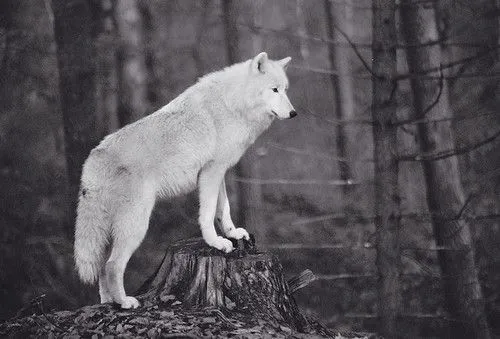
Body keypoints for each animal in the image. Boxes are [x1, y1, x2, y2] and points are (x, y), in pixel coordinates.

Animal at [72, 51, 294, 310]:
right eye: (274, 90)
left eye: (285, 89)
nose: (294, 113)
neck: (233, 102)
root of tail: (93, 158)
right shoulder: (210, 172)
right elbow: (207, 215)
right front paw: (216, 243)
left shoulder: (219, 172)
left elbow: (224, 211)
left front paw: (233, 234)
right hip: (136, 225)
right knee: (112, 265)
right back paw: (125, 302)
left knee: (102, 267)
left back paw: (109, 302)